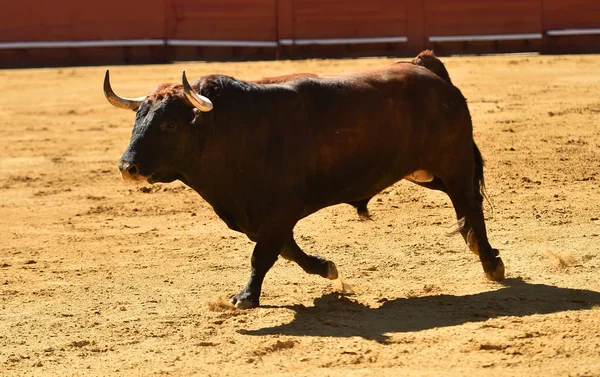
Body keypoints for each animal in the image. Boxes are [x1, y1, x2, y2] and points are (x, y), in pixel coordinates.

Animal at [105, 50, 504, 308]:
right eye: (138, 117)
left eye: (170, 124)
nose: (128, 167)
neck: (229, 128)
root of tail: (426, 67)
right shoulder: (260, 216)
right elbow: (286, 250)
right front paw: (326, 268)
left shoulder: (278, 211)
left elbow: (263, 255)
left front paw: (245, 298)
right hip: (424, 172)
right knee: (463, 202)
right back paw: (478, 247)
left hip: (452, 161)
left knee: (469, 200)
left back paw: (490, 262)